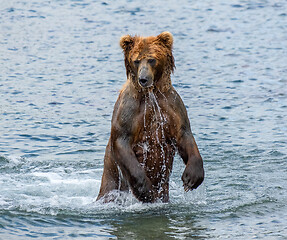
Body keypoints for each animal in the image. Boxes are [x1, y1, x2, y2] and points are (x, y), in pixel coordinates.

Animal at [97, 30, 205, 202]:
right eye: (136, 60)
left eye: (152, 59)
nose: (143, 79)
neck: (150, 94)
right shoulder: (129, 110)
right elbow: (122, 140)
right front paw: (145, 189)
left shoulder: (171, 105)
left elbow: (184, 133)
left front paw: (191, 178)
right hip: (111, 183)